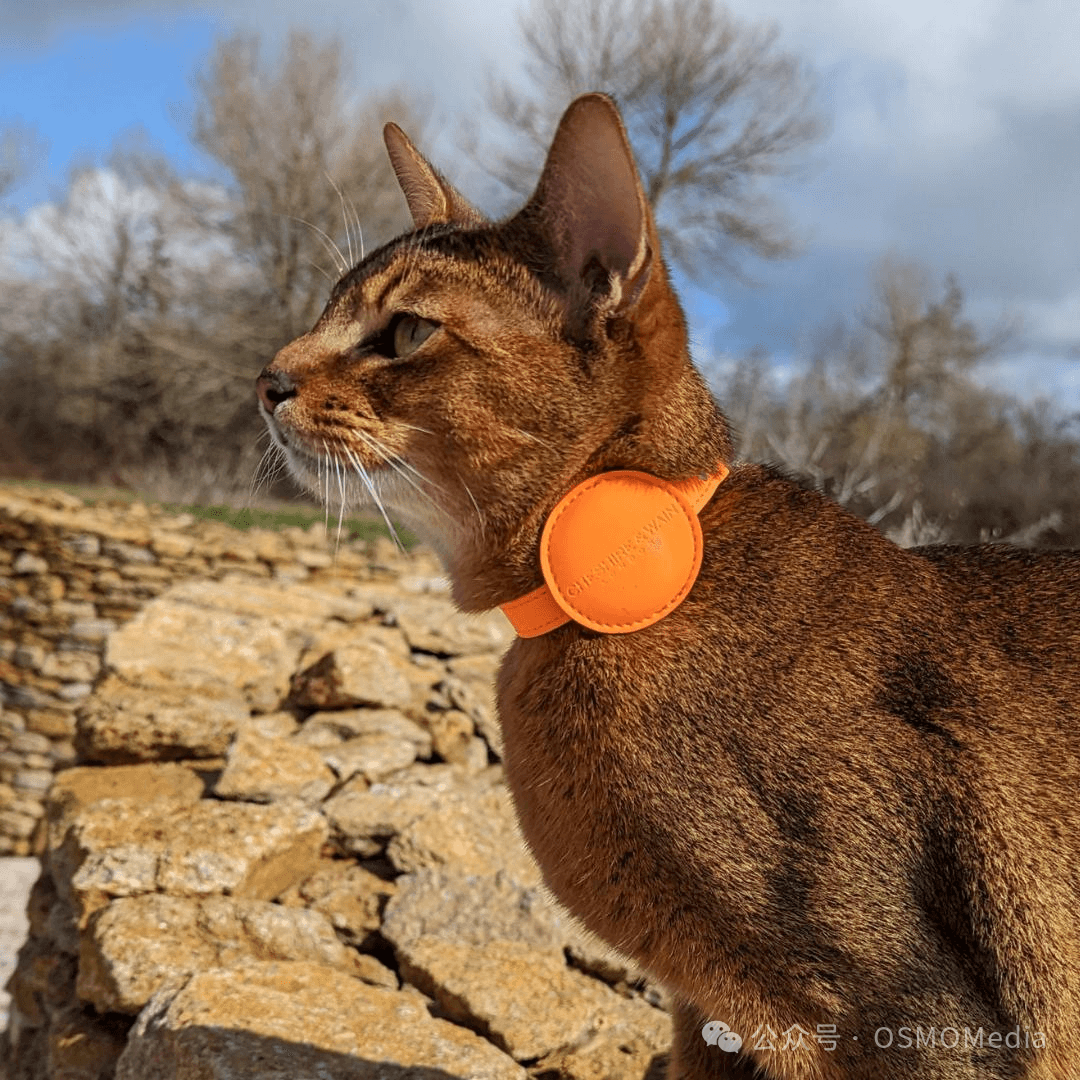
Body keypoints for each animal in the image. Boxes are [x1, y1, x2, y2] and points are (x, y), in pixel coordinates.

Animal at [259, 92, 1080, 1080]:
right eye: (324, 310)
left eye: (409, 331)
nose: (267, 379)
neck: (637, 604)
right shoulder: (712, 1016)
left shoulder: (922, 1014)